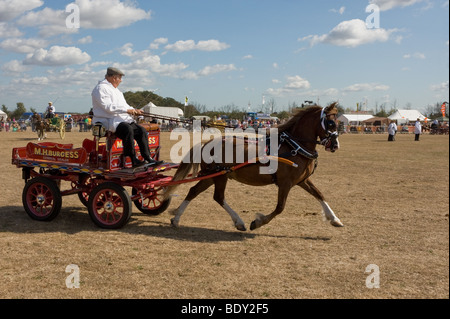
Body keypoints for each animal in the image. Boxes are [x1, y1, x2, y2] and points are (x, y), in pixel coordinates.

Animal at [165, 102, 344, 232]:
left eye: (339, 122)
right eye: (330, 122)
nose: (335, 145)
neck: (294, 146)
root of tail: (206, 142)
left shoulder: (302, 180)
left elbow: (319, 194)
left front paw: (334, 219)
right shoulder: (285, 183)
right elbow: (280, 207)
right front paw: (258, 222)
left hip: (213, 175)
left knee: (194, 191)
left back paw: (176, 219)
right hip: (219, 175)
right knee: (218, 197)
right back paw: (239, 222)